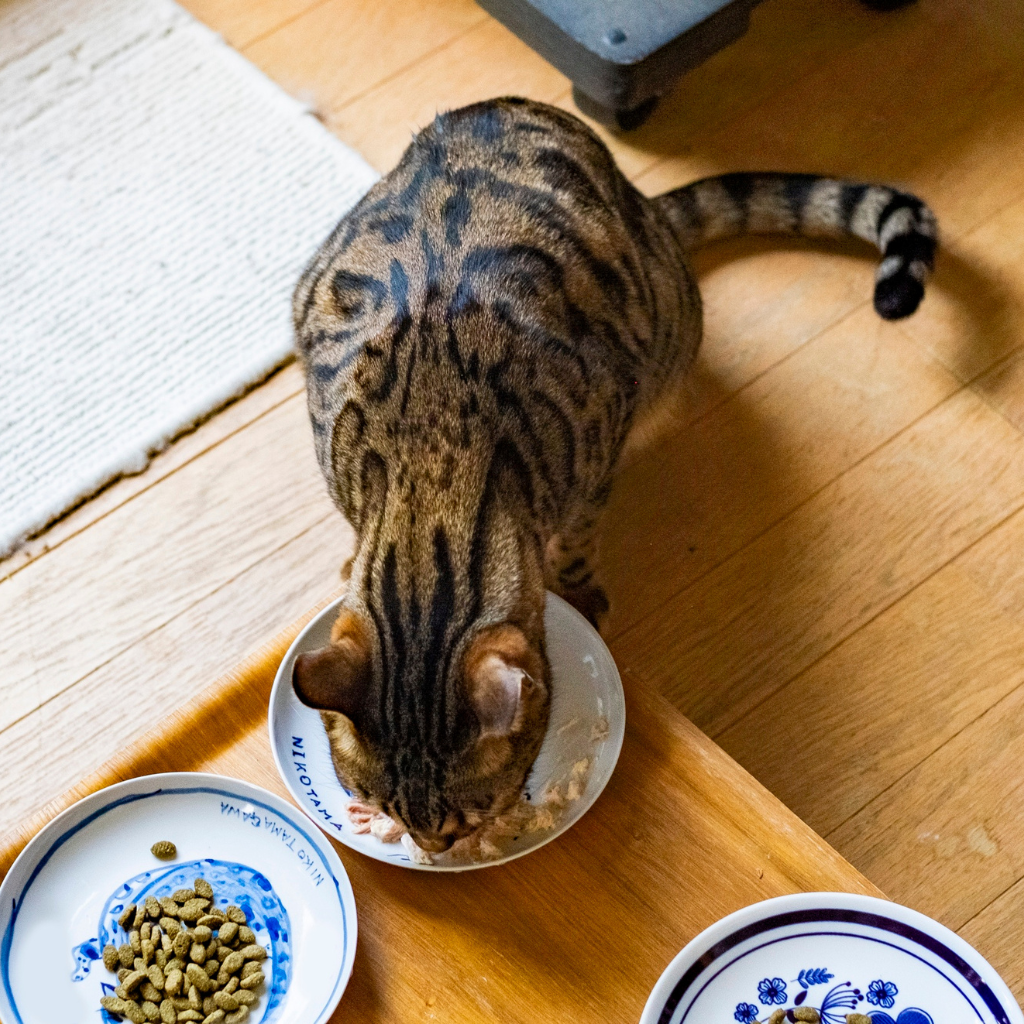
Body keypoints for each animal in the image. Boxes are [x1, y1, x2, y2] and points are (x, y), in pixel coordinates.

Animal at [290, 97, 936, 854]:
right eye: (375, 801)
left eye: (468, 819)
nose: (431, 849)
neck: (433, 454)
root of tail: (643, 204)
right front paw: (346, 560)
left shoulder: (601, 444)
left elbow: (576, 541)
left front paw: (577, 589)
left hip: (670, 333)